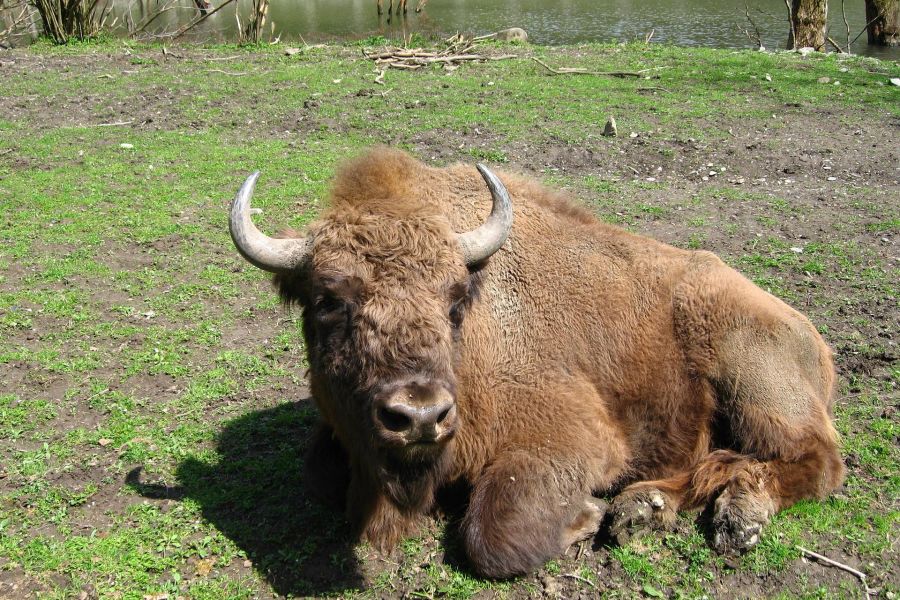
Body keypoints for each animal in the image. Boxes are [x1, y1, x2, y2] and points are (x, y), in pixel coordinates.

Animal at [230, 149, 844, 576]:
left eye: (456, 299)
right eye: (329, 300)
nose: (420, 417)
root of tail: (813, 340)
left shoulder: (575, 438)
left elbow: (493, 532)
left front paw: (587, 516)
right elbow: (318, 475)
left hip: (756, 385)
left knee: (816, 463)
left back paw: (736, 517)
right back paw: (642, 510)